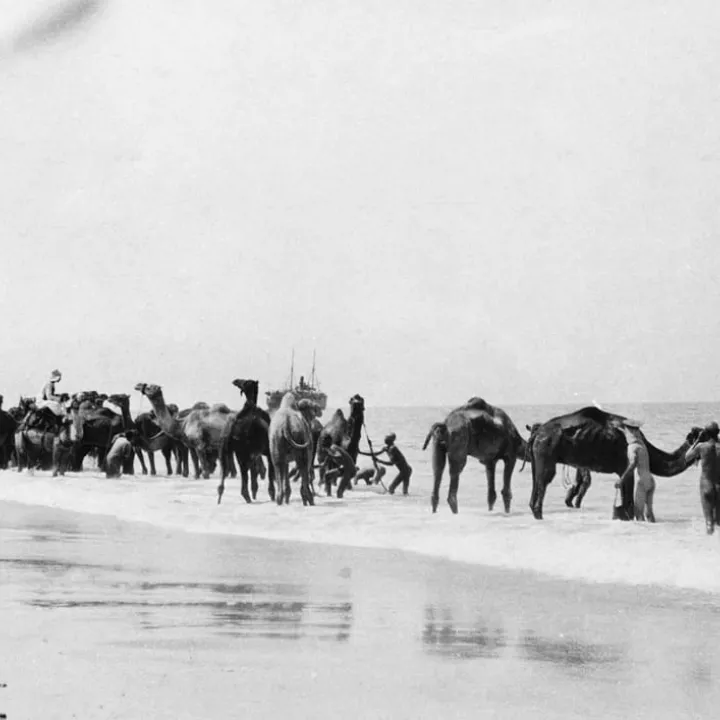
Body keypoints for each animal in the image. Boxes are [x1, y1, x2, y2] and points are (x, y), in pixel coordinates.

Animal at [524, 404, 700, 516]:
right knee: (544, 482)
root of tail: (537, 433)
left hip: (536, 456)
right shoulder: (626, 464)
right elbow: (628, 502)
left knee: (535, 486)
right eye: (702, 433)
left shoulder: (622, 470)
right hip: (546, 450)